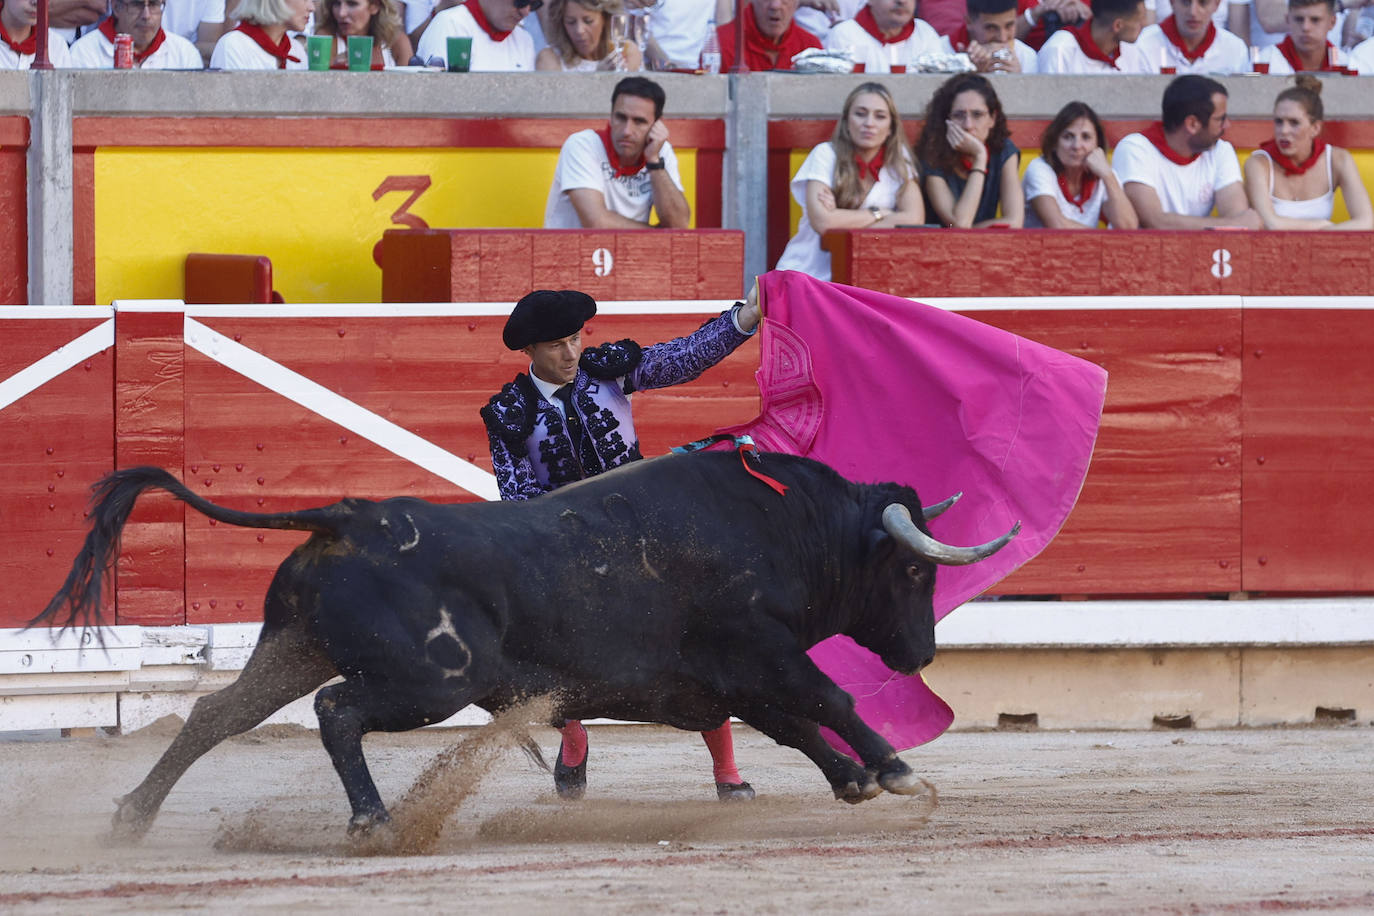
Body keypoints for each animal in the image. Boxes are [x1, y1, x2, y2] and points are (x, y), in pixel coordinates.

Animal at [32, 450, 1016, 840]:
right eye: (915, 571)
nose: (921, 657)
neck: (785, 527)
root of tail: (348, 515)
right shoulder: (756, 652)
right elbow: (827, 700)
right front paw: (896, 773)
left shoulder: (718, 680)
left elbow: (796, 724)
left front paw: (854, 780)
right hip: (425, 681)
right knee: (337, 711)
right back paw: (374, 820)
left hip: (292, 647)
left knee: (214, 714)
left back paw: (132, 818)